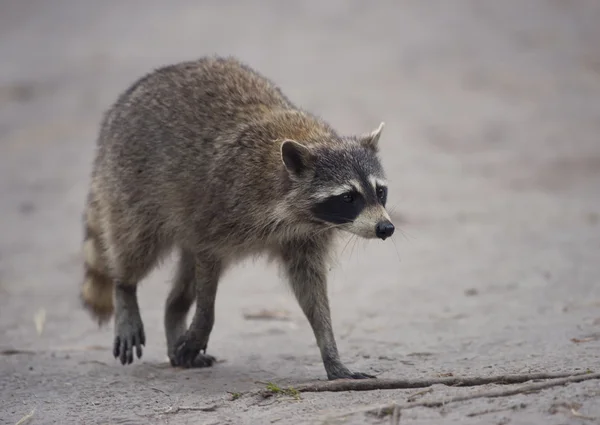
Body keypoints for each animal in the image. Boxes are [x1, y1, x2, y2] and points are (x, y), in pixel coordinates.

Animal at [81, 55, 398, 378]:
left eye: (380, 191)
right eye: (348, 197)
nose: (385, 227)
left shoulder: (305, 238)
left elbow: (310, 287)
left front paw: (329, 349)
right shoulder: (220, 211)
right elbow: (207, 272)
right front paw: (202, 323)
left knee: (182, 279)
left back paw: (174, 311)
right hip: (133, 185)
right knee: (136, 244)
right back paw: (125, 287)